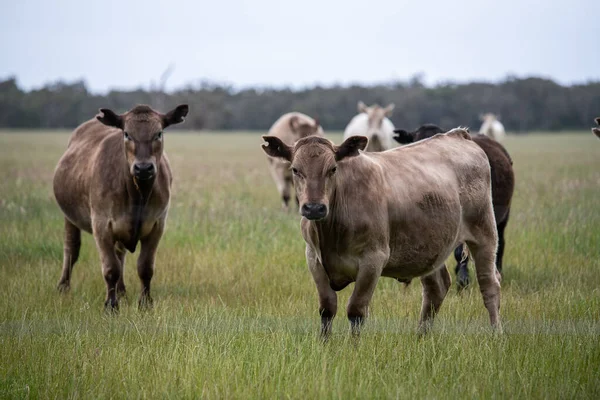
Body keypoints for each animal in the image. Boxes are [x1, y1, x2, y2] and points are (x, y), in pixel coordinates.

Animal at [53, 103, 188, 310]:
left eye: (158, 134)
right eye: (126, 134)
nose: (143, 168)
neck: (137, 196)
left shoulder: (157, 224)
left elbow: (145, 267)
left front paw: (145, 304)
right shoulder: (101, 224)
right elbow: (111, 268)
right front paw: (110, 305)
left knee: (120, 253)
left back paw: (122, 291)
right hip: (69, 217)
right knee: (71, 249)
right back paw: (63, 286)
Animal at [262, 129, 502, 338]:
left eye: (332, 169)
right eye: (295, 169)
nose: (314, 208)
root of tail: (458, 135)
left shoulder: (373, 260)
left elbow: (356, 310)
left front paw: (354, 349)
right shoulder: (313, 258)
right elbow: (327, 308)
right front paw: (325, 345)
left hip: (485, 233)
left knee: (489, 284)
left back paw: (496, 334)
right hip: (431, 247)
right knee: (436, 288)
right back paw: (421, 337)